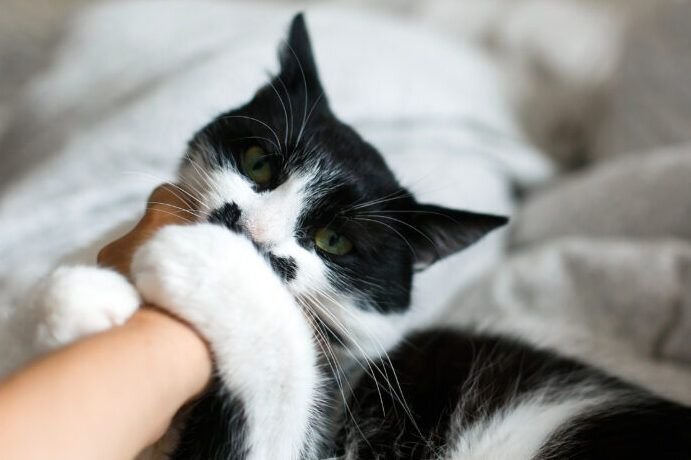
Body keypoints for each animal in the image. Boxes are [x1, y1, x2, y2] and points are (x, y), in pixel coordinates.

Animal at [5, 12, 691, 458]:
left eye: (334, 242)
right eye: (258, 163)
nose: (246, 227)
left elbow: (284, 372)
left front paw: (204, 264)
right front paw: (77, 302)